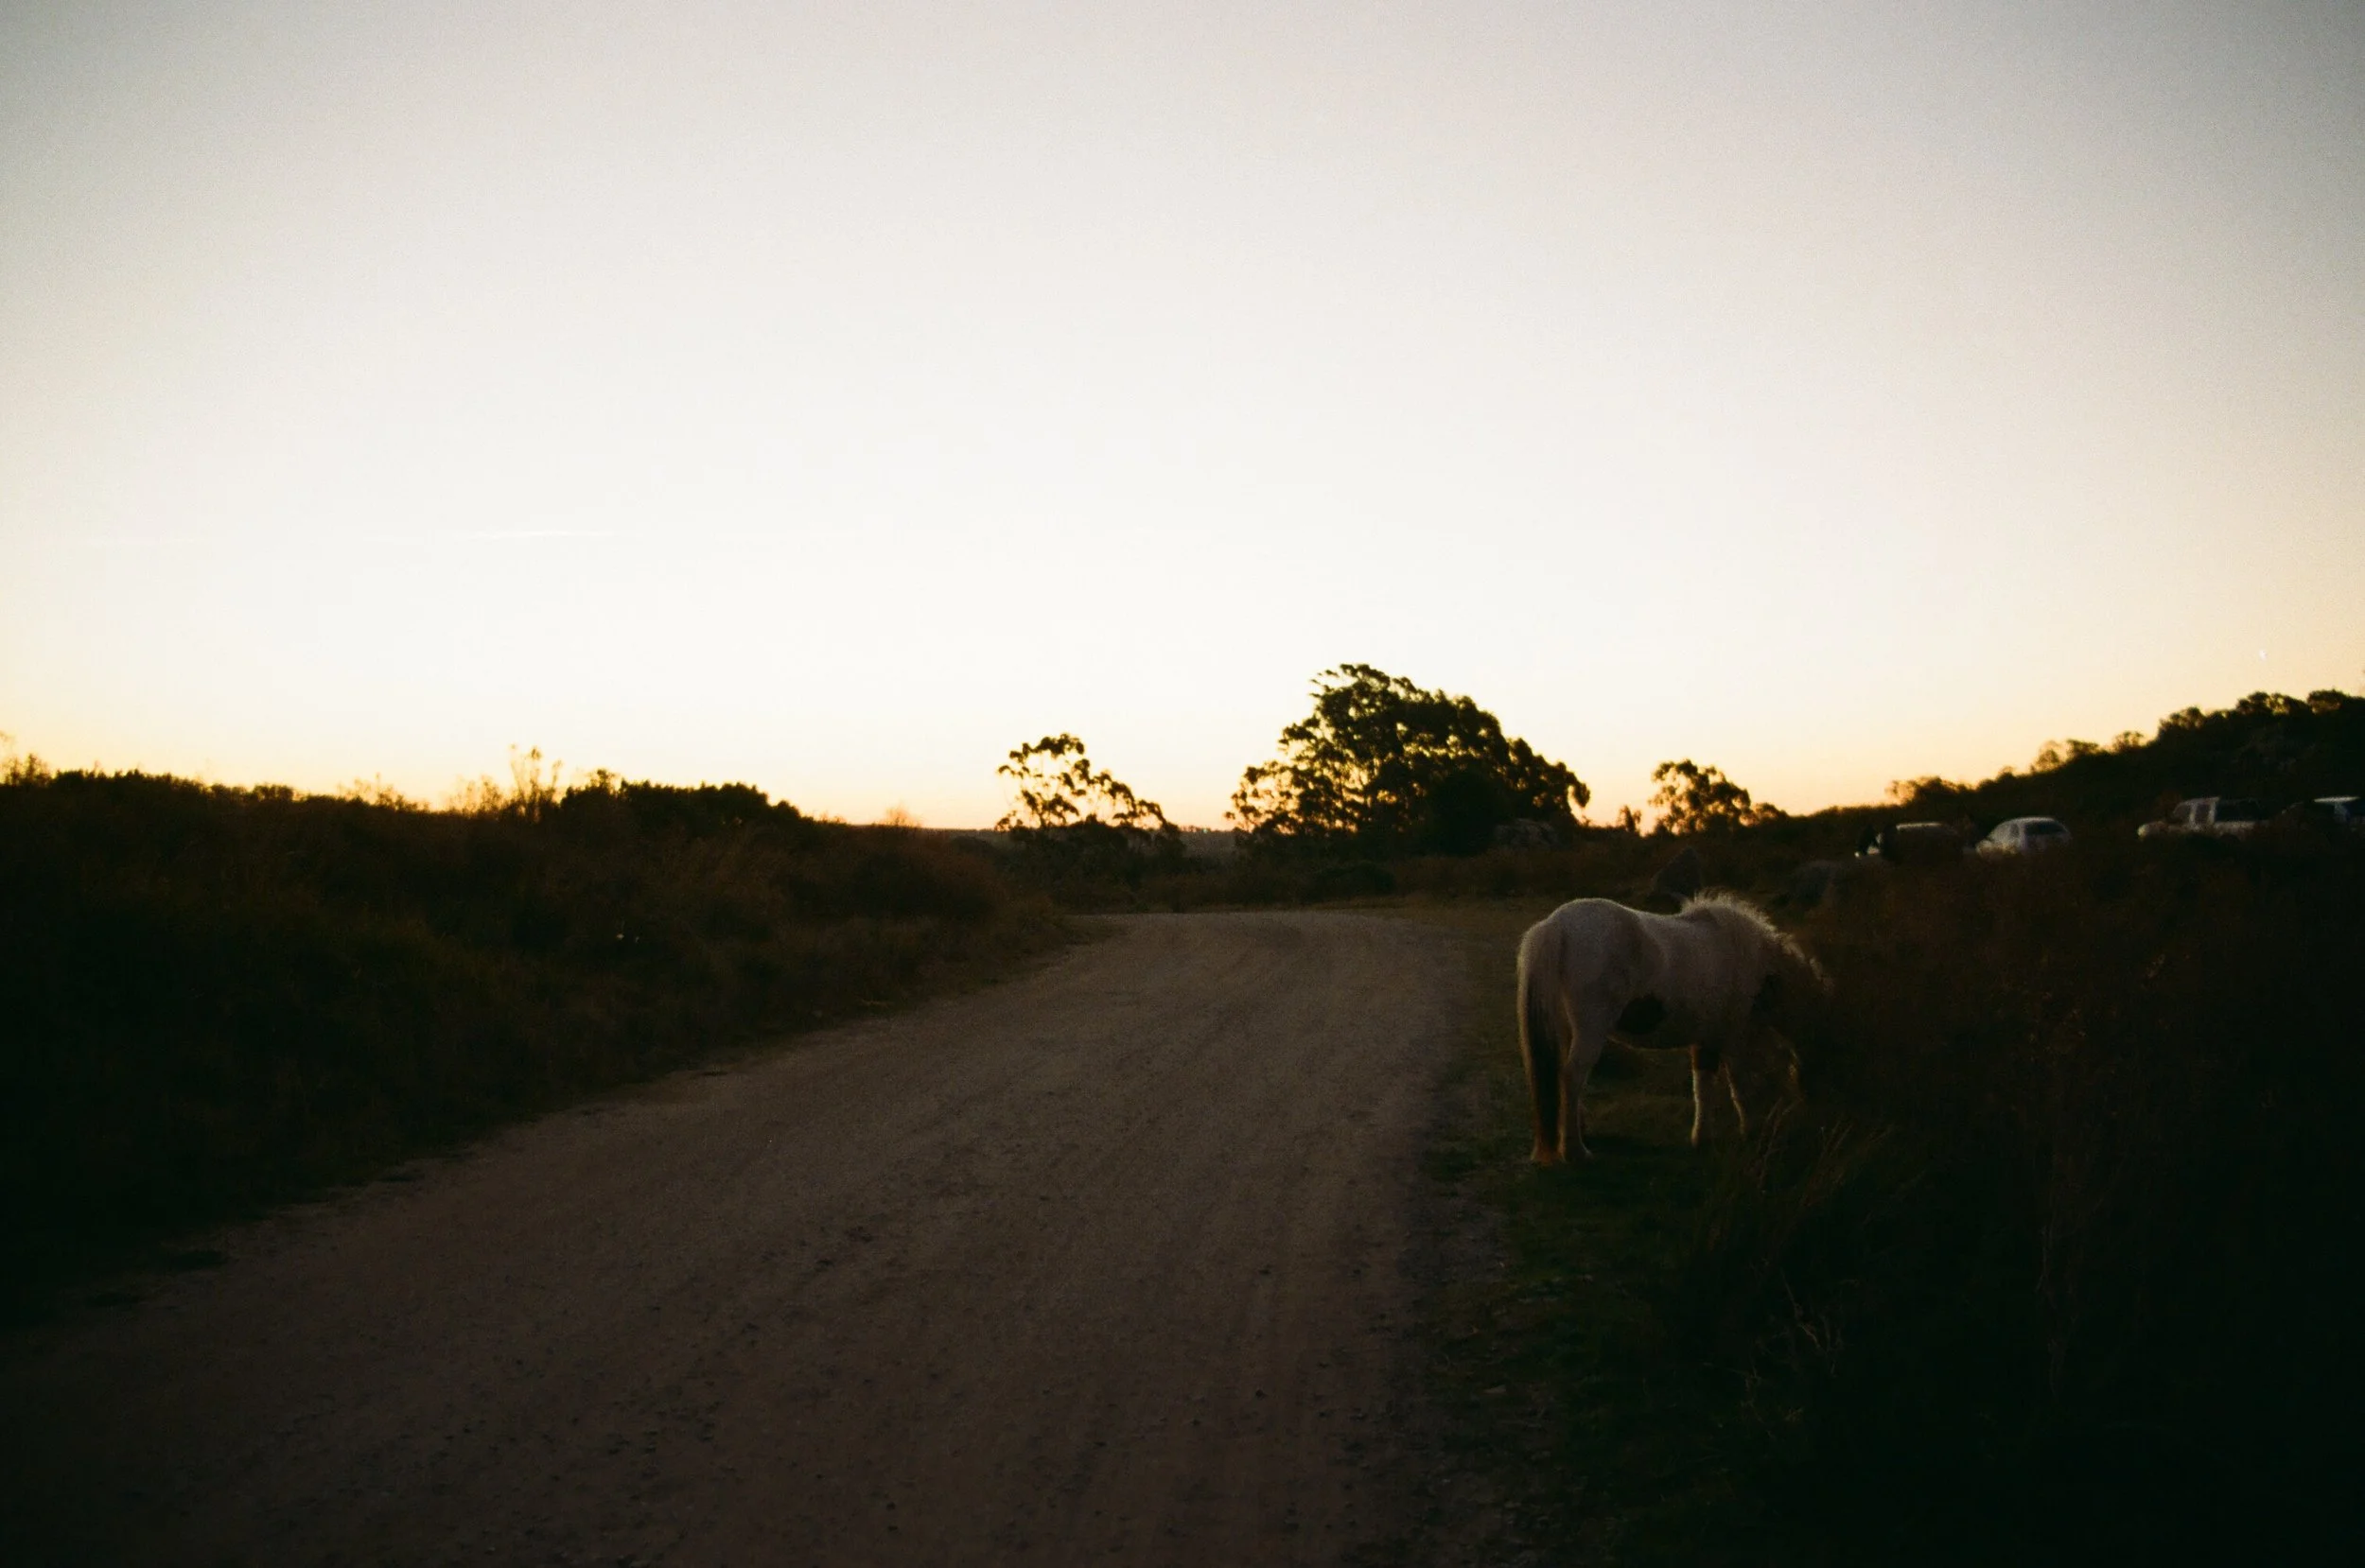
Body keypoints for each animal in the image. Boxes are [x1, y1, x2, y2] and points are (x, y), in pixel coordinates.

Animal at [1516, 891, 1825, 1164]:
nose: (1812, 1096)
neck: (1752, 959)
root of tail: (1557, 925)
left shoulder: (1706, 1040)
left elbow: (1702, 1087)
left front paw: (1702, 1138)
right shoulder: (1733, 1041)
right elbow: (1740, 1088)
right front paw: (1749, 1132)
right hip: (1591, 1030)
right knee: (1572, 1076)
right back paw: (1575, 1151)